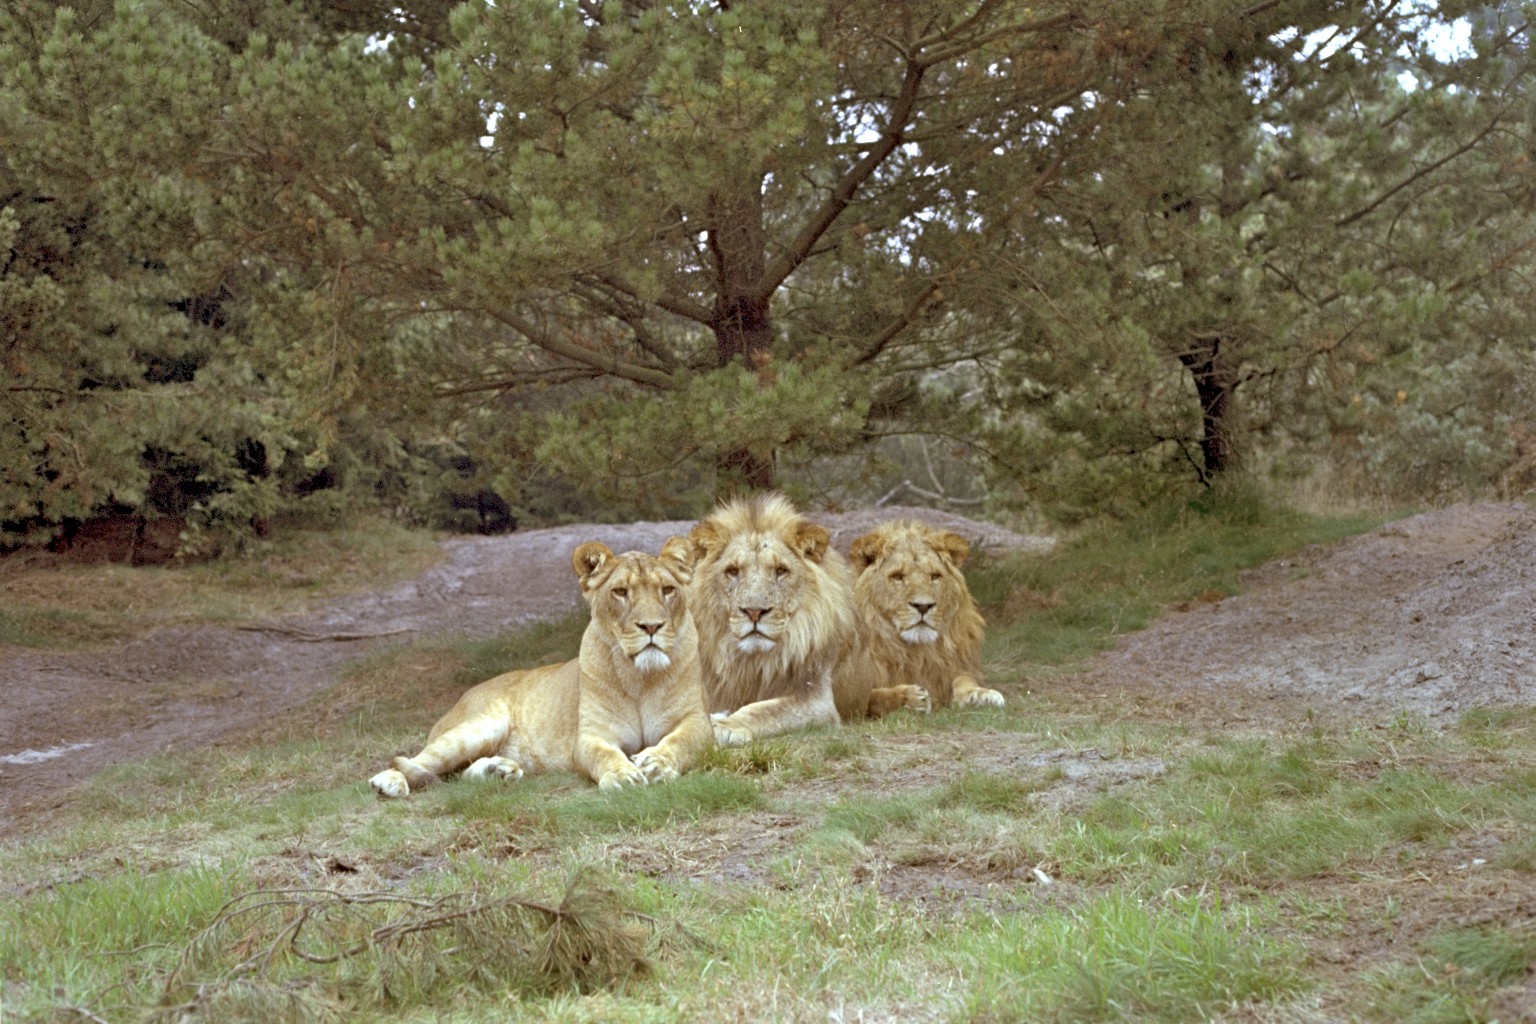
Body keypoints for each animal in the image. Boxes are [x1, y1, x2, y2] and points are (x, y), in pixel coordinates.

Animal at [368, 540, 709, 798]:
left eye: (667, 590)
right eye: (621, 592)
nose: (651, 626)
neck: (639, 677)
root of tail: (461, 698)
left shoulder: (697, 720)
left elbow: (681, 741)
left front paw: (656, 761)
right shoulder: (591, 735)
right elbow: (605, 754)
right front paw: (622, 775)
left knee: (459, 774)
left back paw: (498, 770)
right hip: (478, 727)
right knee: (417, 761)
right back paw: (389, 782)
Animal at [691, 491, 927, 749]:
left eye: (781, 571)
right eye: (732, 571)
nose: (754, 612)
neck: (752, 661)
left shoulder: (817, 700)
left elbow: (765, 710)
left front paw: (724, 725)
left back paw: (915, 698)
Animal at [841, 521, 1007, 712]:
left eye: (935, 576)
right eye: (897, 576)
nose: (923, 606)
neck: (917, 652)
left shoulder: (953, 668)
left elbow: (964, 678)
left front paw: (979, 695)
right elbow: (873, 696)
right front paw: (909, 697)